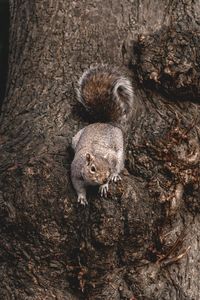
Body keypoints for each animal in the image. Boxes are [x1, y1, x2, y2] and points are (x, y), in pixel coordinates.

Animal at [71, 65, 134, 206]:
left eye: (108, 167)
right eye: (93, 169)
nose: (104, 179)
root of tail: (106, 123)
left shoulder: (112, 158)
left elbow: (114, 167)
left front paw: (105, 184)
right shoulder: (76, 173)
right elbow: (78, 187)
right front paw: (82, 197)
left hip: (120, 150)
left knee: (120, 164)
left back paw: (115, 175)